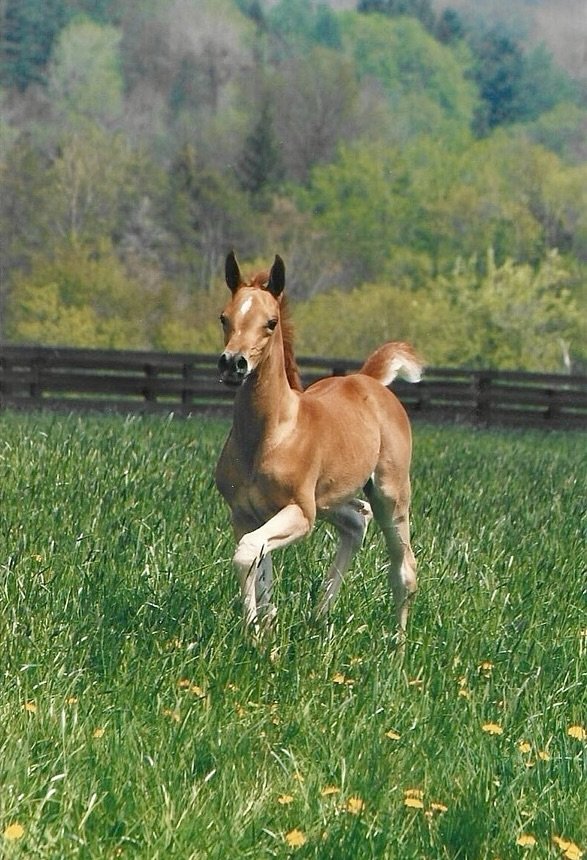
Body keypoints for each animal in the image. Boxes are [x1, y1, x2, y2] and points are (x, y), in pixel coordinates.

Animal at [215, 251, 423, 645]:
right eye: (224, 317)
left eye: (271, 322)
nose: (233, 363)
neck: (269, 435)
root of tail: (368, 381)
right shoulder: (246, 514)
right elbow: (257, 562)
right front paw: (265, 629)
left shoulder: (300, 513)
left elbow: (246, 552)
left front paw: (252, 633)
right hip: (330, 499)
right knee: (356, 521)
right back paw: (318, 617)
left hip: (389, 494)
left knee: (404, 567)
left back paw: (399, 647)